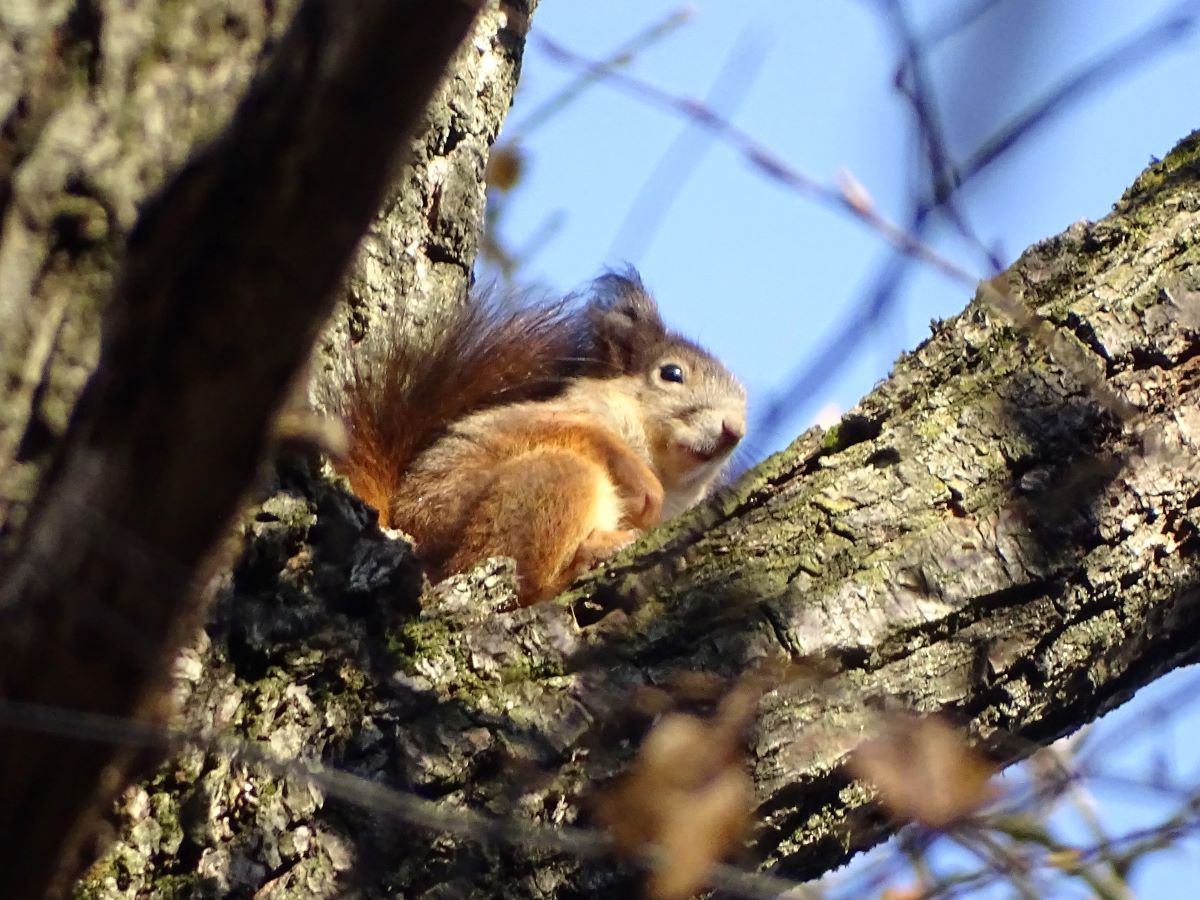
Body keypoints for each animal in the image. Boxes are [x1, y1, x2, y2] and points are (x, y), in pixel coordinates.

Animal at [326, 267, 739, 607]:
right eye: (671, 373)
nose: (734, 430)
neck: (665, 470)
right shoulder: (562, 415)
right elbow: (578, 435)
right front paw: (641, 484)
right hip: (547, 484)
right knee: (529, 588)